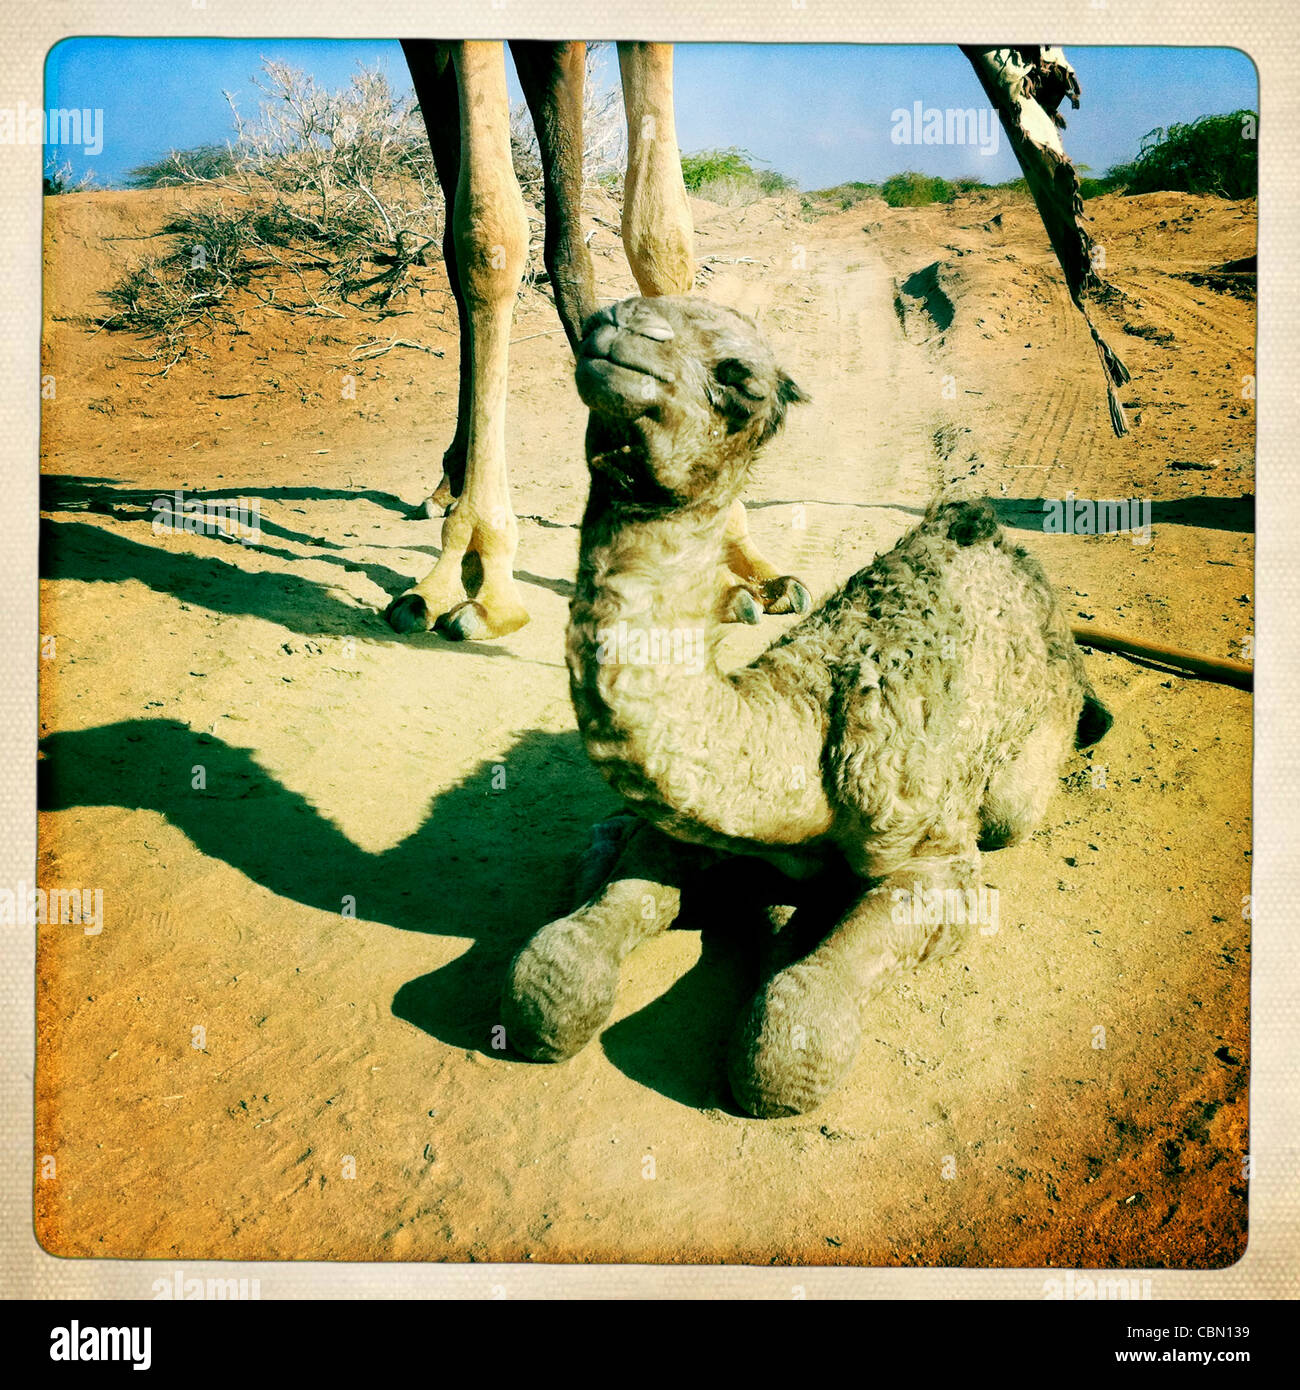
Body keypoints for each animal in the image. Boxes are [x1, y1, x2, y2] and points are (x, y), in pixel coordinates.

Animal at [497, 296, 1106, 1117]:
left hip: (1025, 773)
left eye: (739, 379)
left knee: (1014, 806)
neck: (805, 742)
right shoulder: (699, 823)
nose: (618, 322)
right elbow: (555, 971)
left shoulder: (933, 853)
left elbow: (790, 1037)